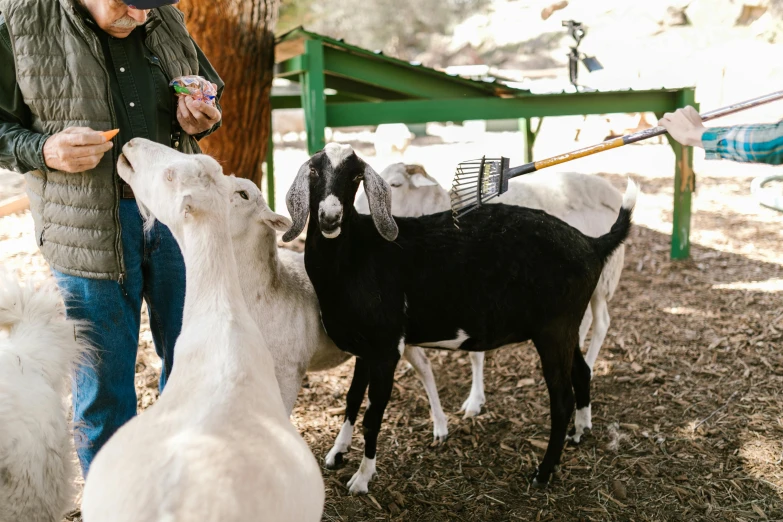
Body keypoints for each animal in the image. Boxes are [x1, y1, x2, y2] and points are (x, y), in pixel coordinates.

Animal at [356, 165, 624, 428]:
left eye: (395, 184)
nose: (358, 214)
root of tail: (609, 190)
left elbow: (475, 355)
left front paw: (474, 401)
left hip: (603, 279)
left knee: (601, 323)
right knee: (589, 321)